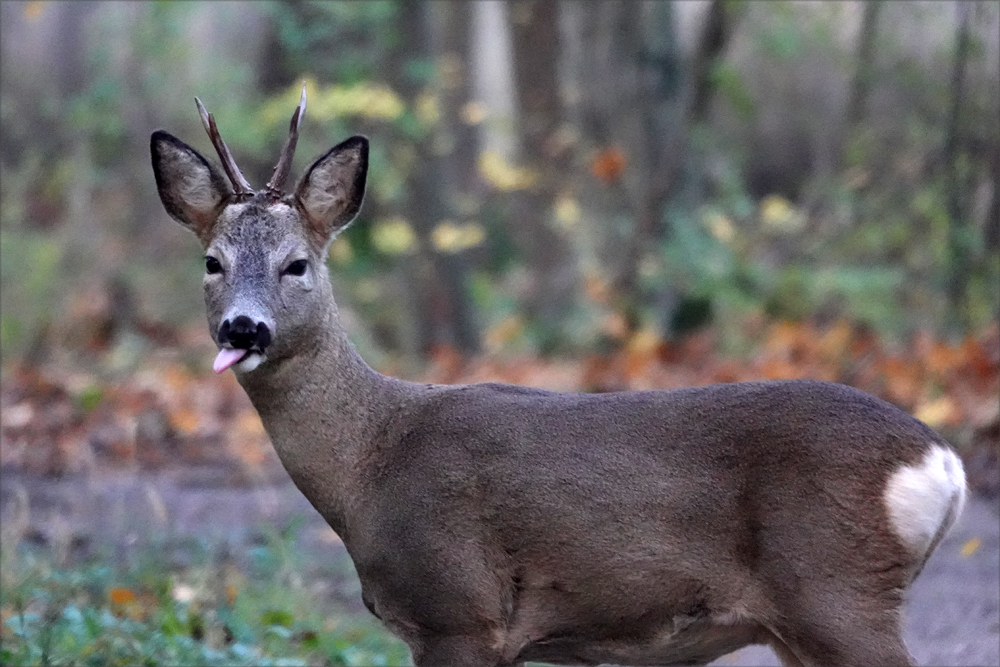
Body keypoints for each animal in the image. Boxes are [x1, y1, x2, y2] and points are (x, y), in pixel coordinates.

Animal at [150, 90, 968, 667]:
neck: (371, 462)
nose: (243, 329)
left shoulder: (458, 609)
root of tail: (943, 462)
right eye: (212, 261)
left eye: (297, 264)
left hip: (837, 589)